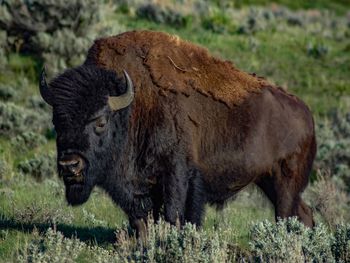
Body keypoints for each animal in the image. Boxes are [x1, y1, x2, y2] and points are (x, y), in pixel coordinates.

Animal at [39, 30, 318, 237]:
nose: (69, 165)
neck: (135, 107)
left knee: (287, 215)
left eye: (100, 121)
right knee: (303, 215)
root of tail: (306, 113)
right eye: (57, 121)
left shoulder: (176, 174)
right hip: (268, 180)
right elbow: (141, 222)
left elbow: (173, 217)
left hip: (285, 182)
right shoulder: (138, 189)